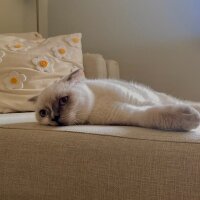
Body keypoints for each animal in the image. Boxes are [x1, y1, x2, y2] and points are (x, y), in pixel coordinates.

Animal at [30, 70, 200, 131]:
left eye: (64, 100)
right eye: (43, 113)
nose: (54, 118)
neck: (97, 104)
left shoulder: (137, 99)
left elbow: (156, 106)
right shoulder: (127, 113)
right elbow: (153, 114)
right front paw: (192, 118)